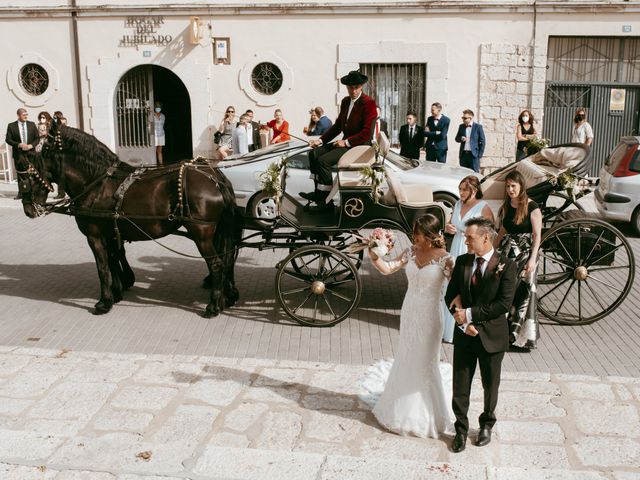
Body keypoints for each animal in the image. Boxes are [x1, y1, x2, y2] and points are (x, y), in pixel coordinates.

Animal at [21, 123, 242, 318]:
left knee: (217, 264)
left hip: (201, 233)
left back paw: (213, 306)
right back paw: (225, 297)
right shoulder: (110, 234)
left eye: (44, 150)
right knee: (226, 261)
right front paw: (117, 291)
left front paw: (104, 302)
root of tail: (215, 177)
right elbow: (113, 260)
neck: (98, 183)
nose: (28, 206)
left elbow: (102, 268)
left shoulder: (94, 235)